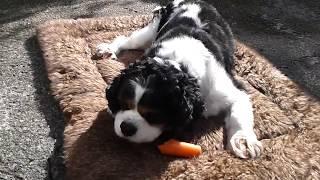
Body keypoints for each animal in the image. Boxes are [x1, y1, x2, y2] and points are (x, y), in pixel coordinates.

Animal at [97, 0, 262, 158]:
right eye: (123, 103)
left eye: (153, 115)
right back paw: (108, 49)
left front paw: (244, 140)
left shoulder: (233, 90)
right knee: (127, 40)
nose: (126, 127)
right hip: (151, 32)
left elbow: (239, 115)